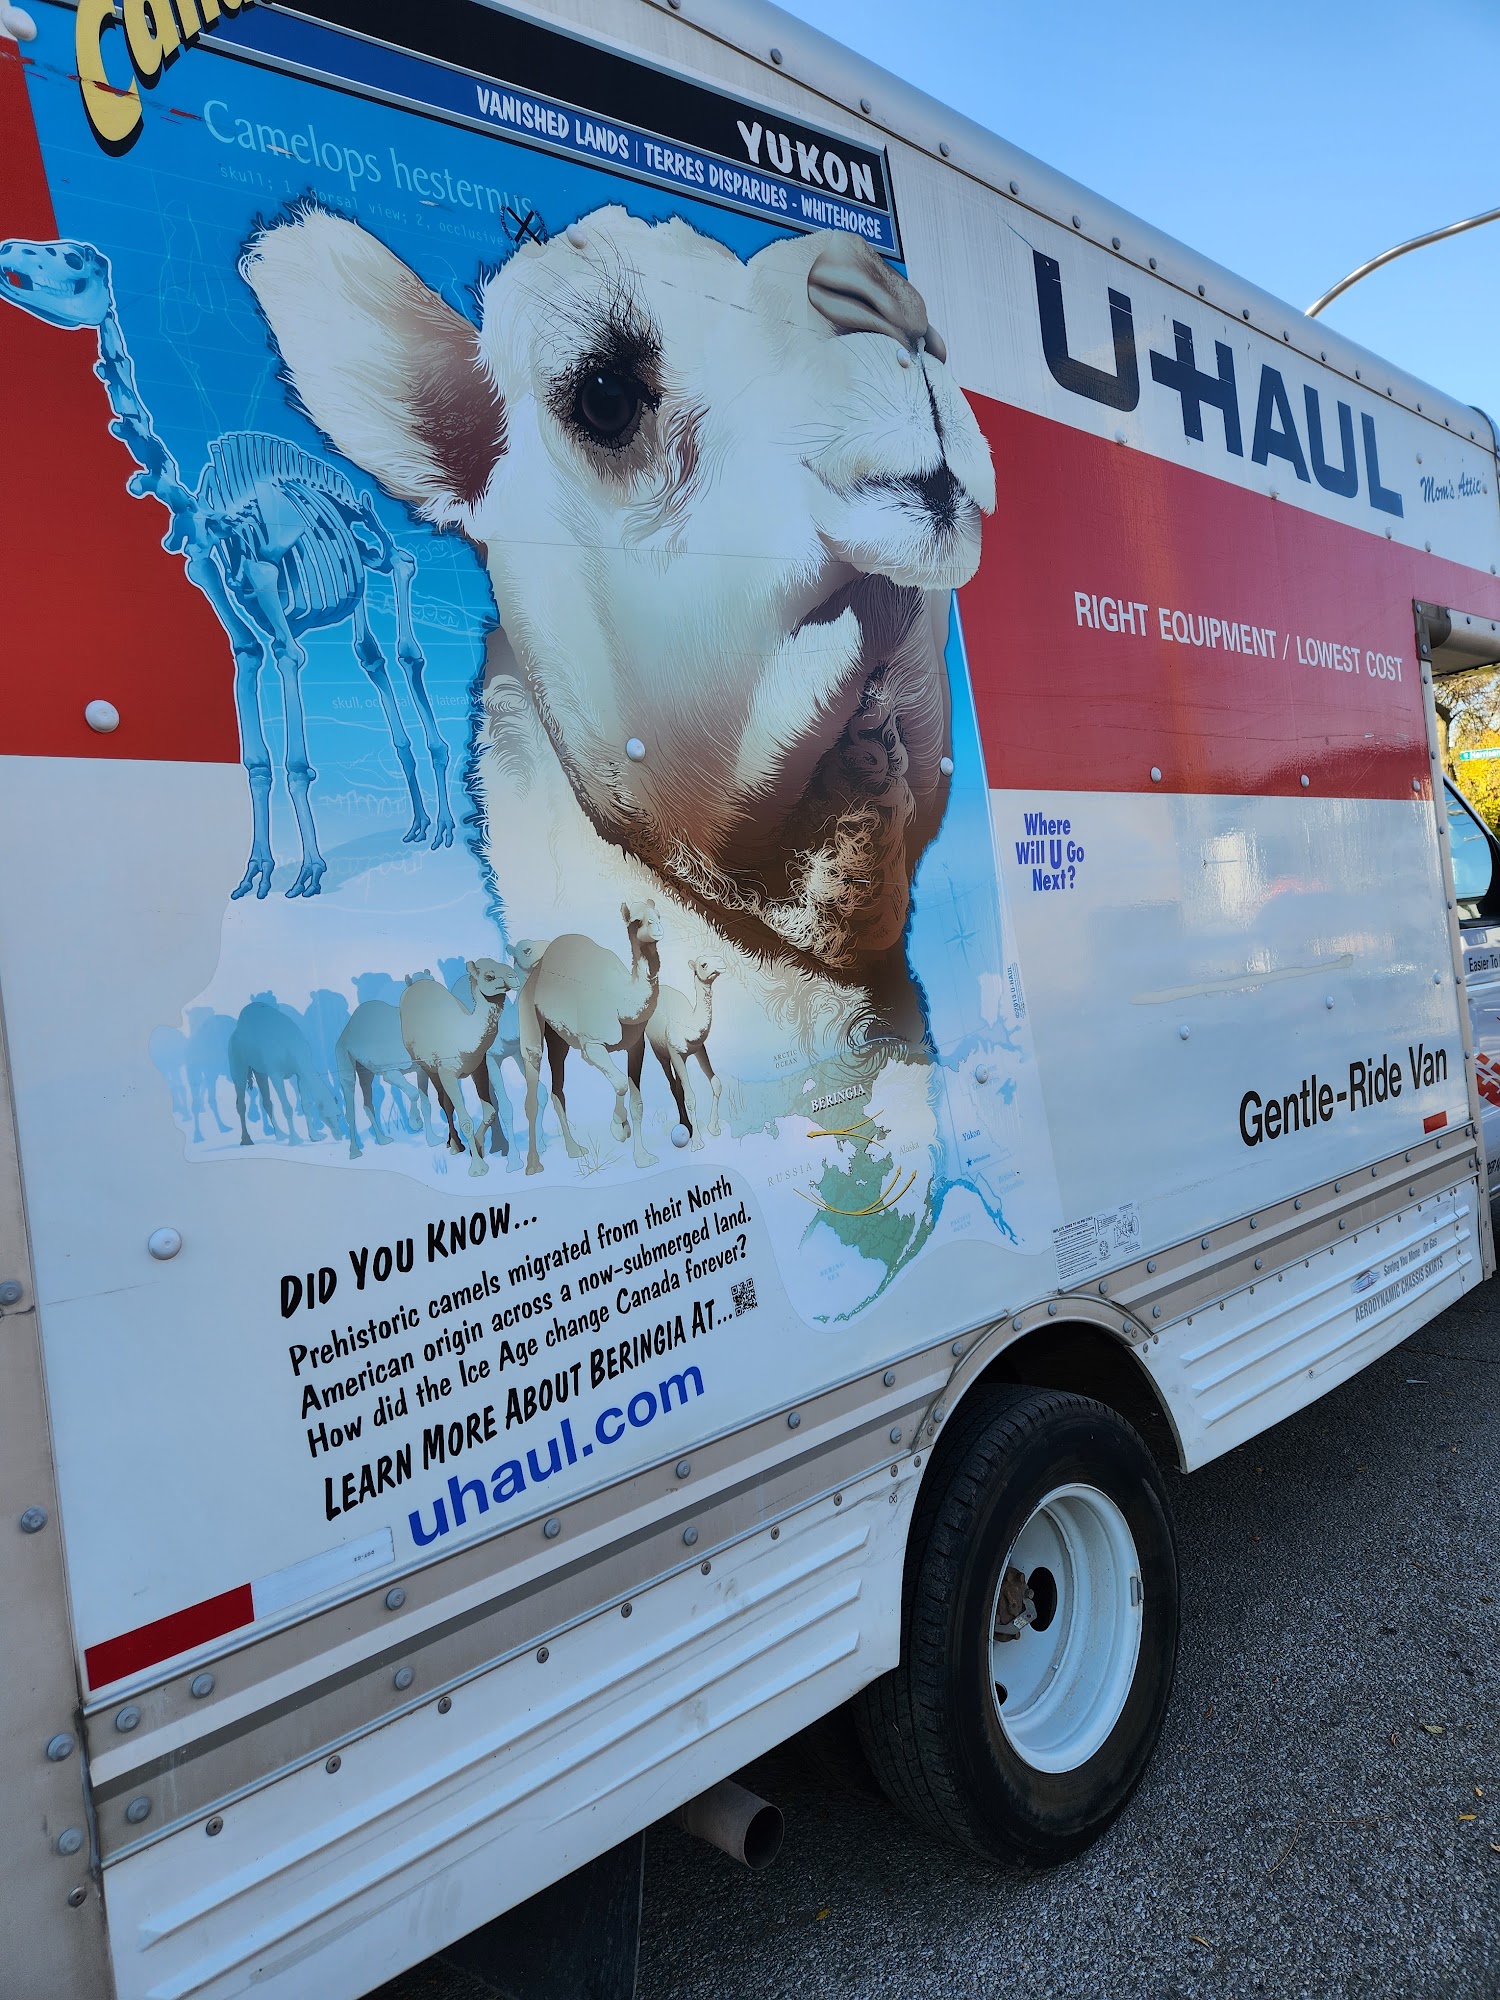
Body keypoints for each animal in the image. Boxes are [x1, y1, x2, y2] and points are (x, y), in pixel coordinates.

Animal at [399, 958, 517, 1176]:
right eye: (489, 976)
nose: (514, 977)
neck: (464, 1038)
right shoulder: (447, 1072)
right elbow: (465, 1120)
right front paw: (478, 1167)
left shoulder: (479, 1067)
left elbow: (490, 1112)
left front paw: (478, 1146)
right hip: (427, 1068)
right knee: (442, 1101)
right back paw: (454, 1144)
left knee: (446, 1102)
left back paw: (455, 1144)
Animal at [519, 903, 662, 1177]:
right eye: (636, 921)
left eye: (659, 915)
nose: (658, 928)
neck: (623, 1003)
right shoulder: (592, 1045)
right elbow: (620, 1083)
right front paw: (618, 1127)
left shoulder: (636, 1046)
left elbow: (637, 1101)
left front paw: (643, 1157)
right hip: (528, 1013)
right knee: (532, 1075)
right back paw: (533, 1164)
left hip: (559, 1039)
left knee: (557, 1090)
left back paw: (574, 1149)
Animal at [648, 956, 724, 1150]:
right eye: (703, 964)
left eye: (718, 957)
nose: (722, 963)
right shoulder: (675, 1052)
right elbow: (690, 1096)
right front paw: (697, 1141)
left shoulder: (699, 1049)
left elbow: (716, 1083)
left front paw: (713, 1128)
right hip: (660, 1051)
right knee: (672, 1084)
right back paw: (686, 1126)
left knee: (677, 1085)